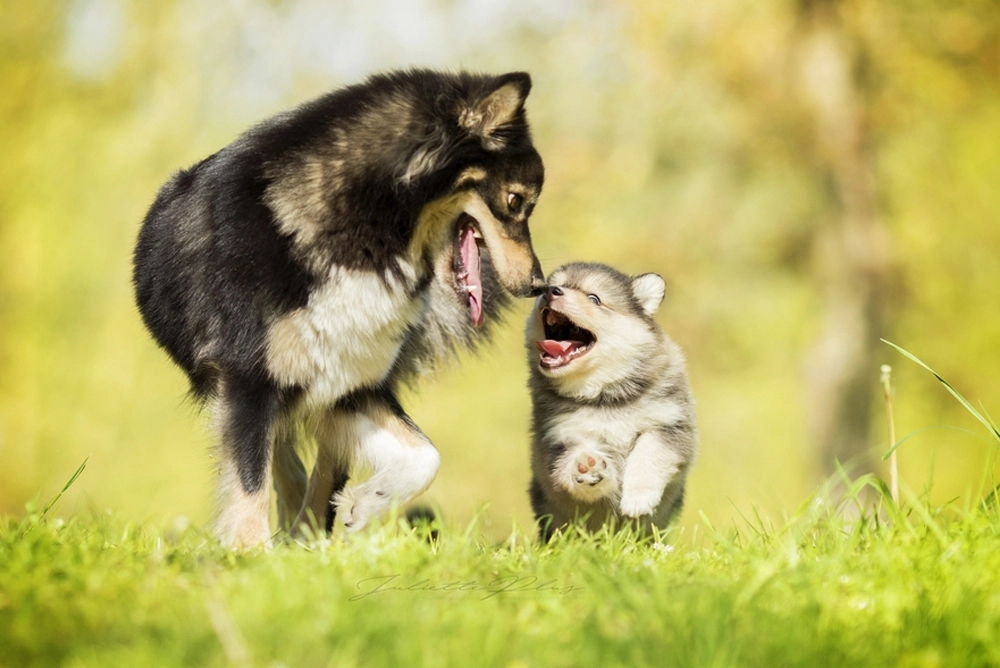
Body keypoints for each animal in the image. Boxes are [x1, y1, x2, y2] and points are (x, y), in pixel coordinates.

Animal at [134, 69, 548, 548]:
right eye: (516, 201)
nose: (538, 284)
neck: (365, 230)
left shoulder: (350, 382)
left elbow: (425, 456)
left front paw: (362, 505)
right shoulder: (247, 378)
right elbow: (249, 481)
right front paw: (249, 554)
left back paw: (308, 536)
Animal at [528, 264, 700, 540]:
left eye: (594, 298)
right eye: (548, 287)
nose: (551, 291)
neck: (605, 396)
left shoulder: (670, 423)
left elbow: (649, 453)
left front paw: (638, 498)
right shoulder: (558, 439)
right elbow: (570, 470)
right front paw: (587, 469)